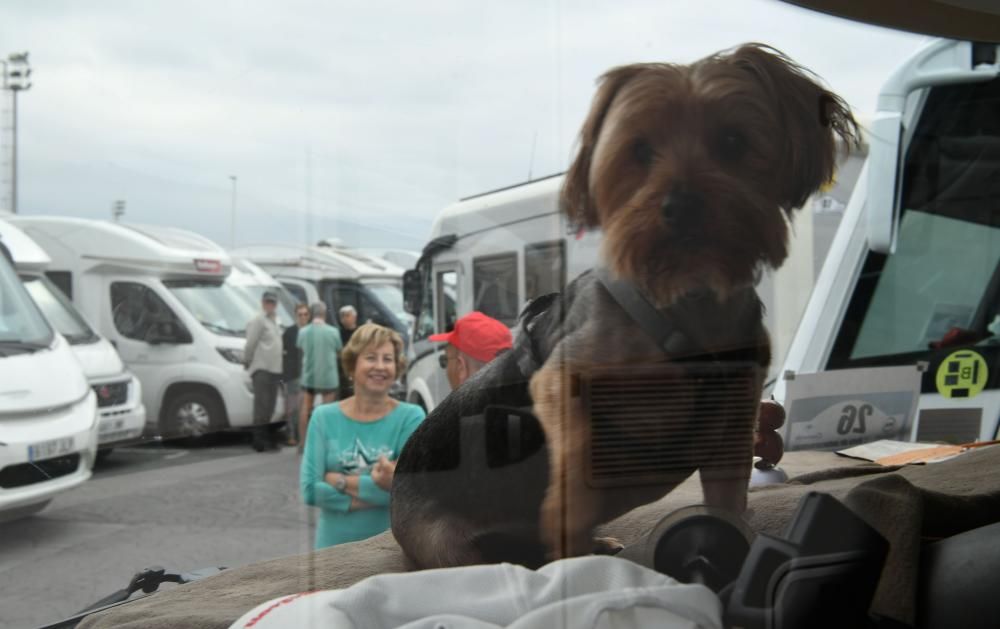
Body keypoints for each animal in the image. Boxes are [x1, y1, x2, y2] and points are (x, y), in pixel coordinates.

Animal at [392, 41, 860, 568]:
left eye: (733, 141)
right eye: (639, 151)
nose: (681, 206)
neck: (687, 301)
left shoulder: (733, 426)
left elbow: (726, 504)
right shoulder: (565, 382)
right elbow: (575, 469)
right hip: (446, 546)